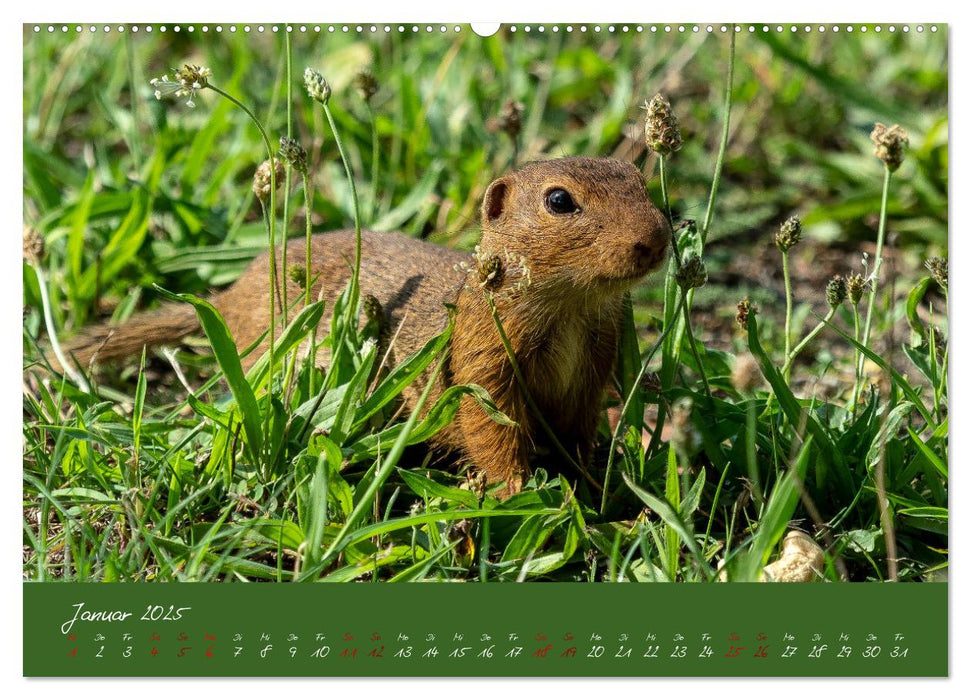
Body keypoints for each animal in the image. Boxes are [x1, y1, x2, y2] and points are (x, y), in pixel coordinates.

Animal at [58, 157, 668, 498]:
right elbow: (491, 430)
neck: (570, 311)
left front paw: (595, 481)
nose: (657, 239)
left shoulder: (591, 373)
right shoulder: (483, 361)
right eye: (559, 200)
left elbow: (579, 432)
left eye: (642, 181)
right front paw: (512, 489)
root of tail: (226, 301)